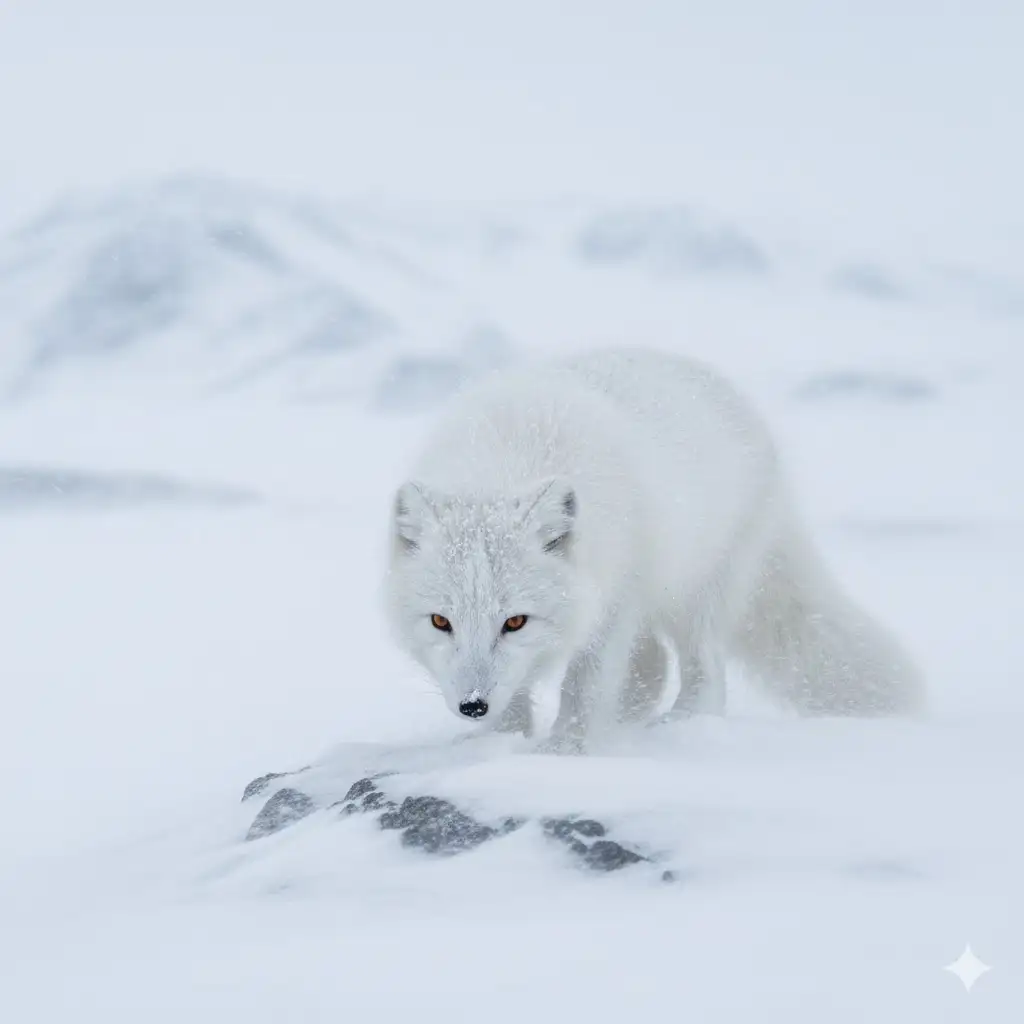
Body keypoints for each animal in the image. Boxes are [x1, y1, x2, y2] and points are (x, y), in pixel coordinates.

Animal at [384, 347, 924, 753]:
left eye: (515, 621)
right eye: (440, 621)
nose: (472, 705)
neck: (507, 463)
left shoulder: (615, 601)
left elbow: (583, 685)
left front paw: (564, 751)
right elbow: (523, 696)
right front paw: (499, 744)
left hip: (696, 594)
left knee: (705, 673)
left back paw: (677, 728)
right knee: (653, 666)